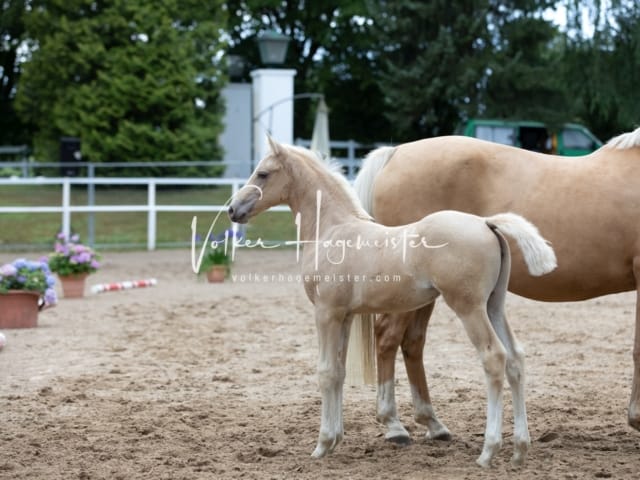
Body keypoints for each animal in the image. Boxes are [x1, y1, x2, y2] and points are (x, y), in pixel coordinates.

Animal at [229, 137, 556, 466]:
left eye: (263, 174)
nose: (233, 209)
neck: (333, 231)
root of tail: (487, 223)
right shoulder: (344, 315)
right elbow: (339, 372)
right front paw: (335, 440)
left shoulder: (326, 313)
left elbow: (325, 372)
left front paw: (322, 445)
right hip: (493, 305)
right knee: (515, 359)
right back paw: (519, 449)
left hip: (469, 307)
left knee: (494, 358)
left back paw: (488, 451)